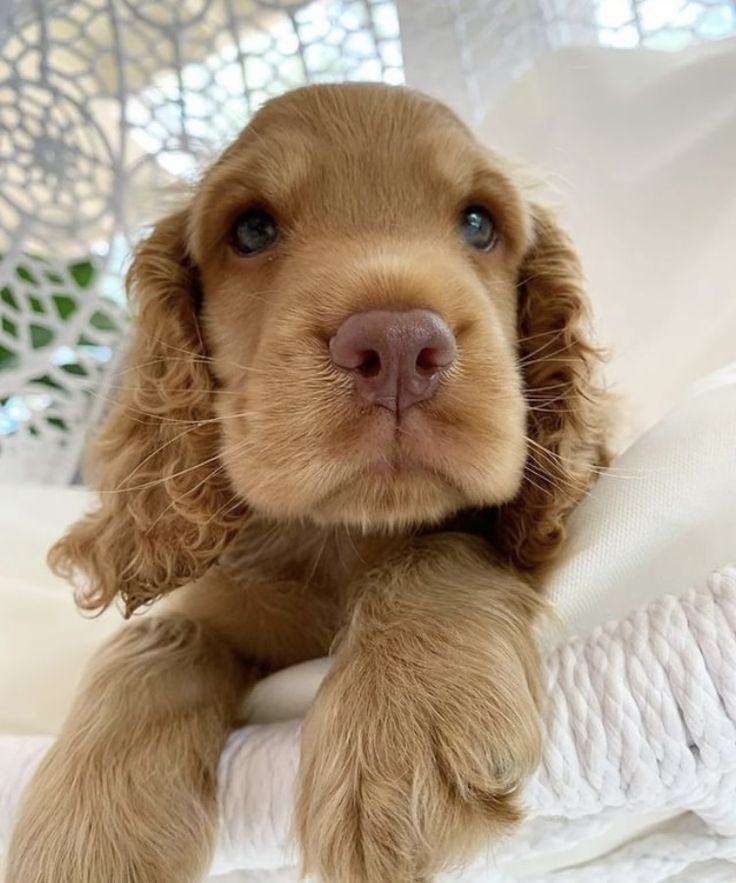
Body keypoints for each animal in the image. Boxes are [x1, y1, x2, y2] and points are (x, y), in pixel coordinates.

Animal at [5, 84, 608, 883]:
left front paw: (404, 729)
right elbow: (159, 633)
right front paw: (84, 830)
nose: (398, 345)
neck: (338, 537)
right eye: (252, 229)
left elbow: (431, 544)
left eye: (479, 223)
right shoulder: (215, 603)